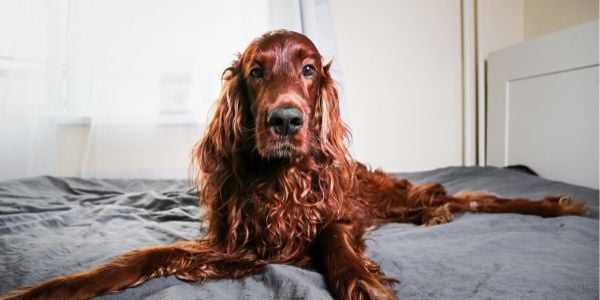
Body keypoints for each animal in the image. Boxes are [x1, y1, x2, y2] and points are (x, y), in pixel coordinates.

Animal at [2, 29, 588, 298]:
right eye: (256, 71)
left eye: (308, 69)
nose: (285, 120)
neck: (279, 180)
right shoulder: (235, 243)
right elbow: (144, 256)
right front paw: (52, 288)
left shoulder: (338, 215)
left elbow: (333, 239)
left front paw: (360, 280)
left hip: (392, 194)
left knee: (470, 196)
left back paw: (554, 204)